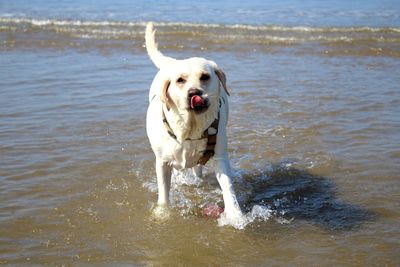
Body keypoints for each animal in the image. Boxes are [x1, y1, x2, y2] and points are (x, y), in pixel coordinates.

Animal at [145, 22, 244, 225]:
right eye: (180, 80)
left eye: (205, 76)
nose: (194, 93)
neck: (191, 129)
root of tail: (172, 62)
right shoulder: (162, 162)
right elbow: (164, 194)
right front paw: (163, 212)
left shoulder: (220, 156)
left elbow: (228, 187)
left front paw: (235, 214)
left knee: (197, 168)